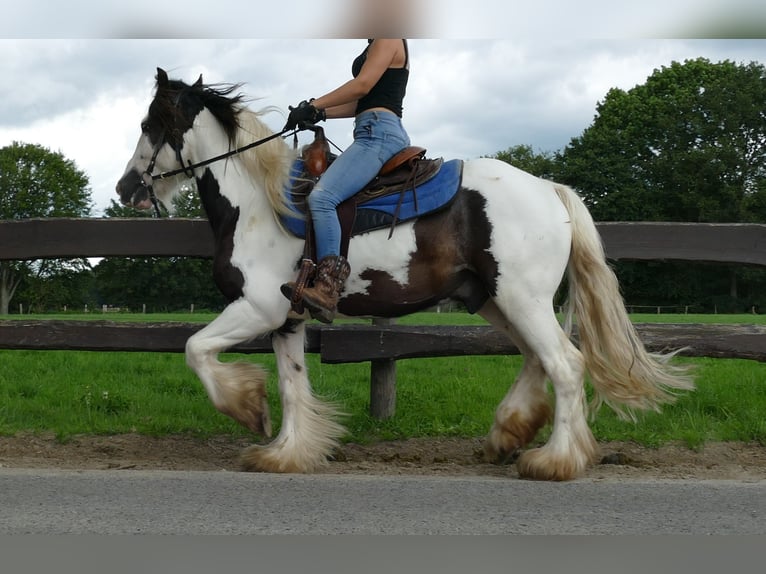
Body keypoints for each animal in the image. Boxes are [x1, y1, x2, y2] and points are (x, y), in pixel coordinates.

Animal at [115, 67, 696, 482]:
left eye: (149, 125)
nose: (125, 188)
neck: (259, 204)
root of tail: (550, 189)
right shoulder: (287, 318)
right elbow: (292, 382)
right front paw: (287, 452)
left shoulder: (256, 307)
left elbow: (195, 348)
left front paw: (247, 410)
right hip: (493, 299)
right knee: (536, 359)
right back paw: (507, 436)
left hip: (523, 298)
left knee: (566, 364)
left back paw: (554, 461)